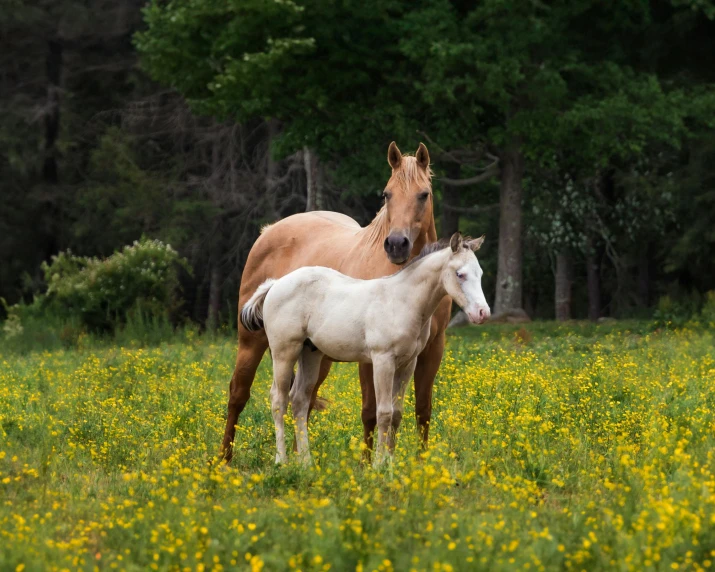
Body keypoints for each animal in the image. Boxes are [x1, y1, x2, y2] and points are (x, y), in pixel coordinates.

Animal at [221, 141, 450, 462]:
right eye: (386, 194)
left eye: (424, 194)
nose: (396, 245)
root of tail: (269, 231)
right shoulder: (372, 357)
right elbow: (371, 411)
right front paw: (367, 464)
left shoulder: (431, 349)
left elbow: (422, 411)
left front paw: (421, 464)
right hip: (252, 341)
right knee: (239, 393)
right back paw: (224, 460)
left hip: (316, 354)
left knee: (303, 400)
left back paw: (301, 460)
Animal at [241, 231, 492, 464]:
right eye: (460, 274)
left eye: (480, 274)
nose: (482, 313)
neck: (402, 301)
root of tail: (275, 284)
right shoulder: (383, 360)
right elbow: (384, 413)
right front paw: (379, 465)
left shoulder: (407, 364)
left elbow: (397, 414)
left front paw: (390, 463)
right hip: (285, 351)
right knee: (279, 400)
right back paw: (281, 461)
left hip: (310, 353)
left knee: (300, 400)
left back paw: (306, 463)